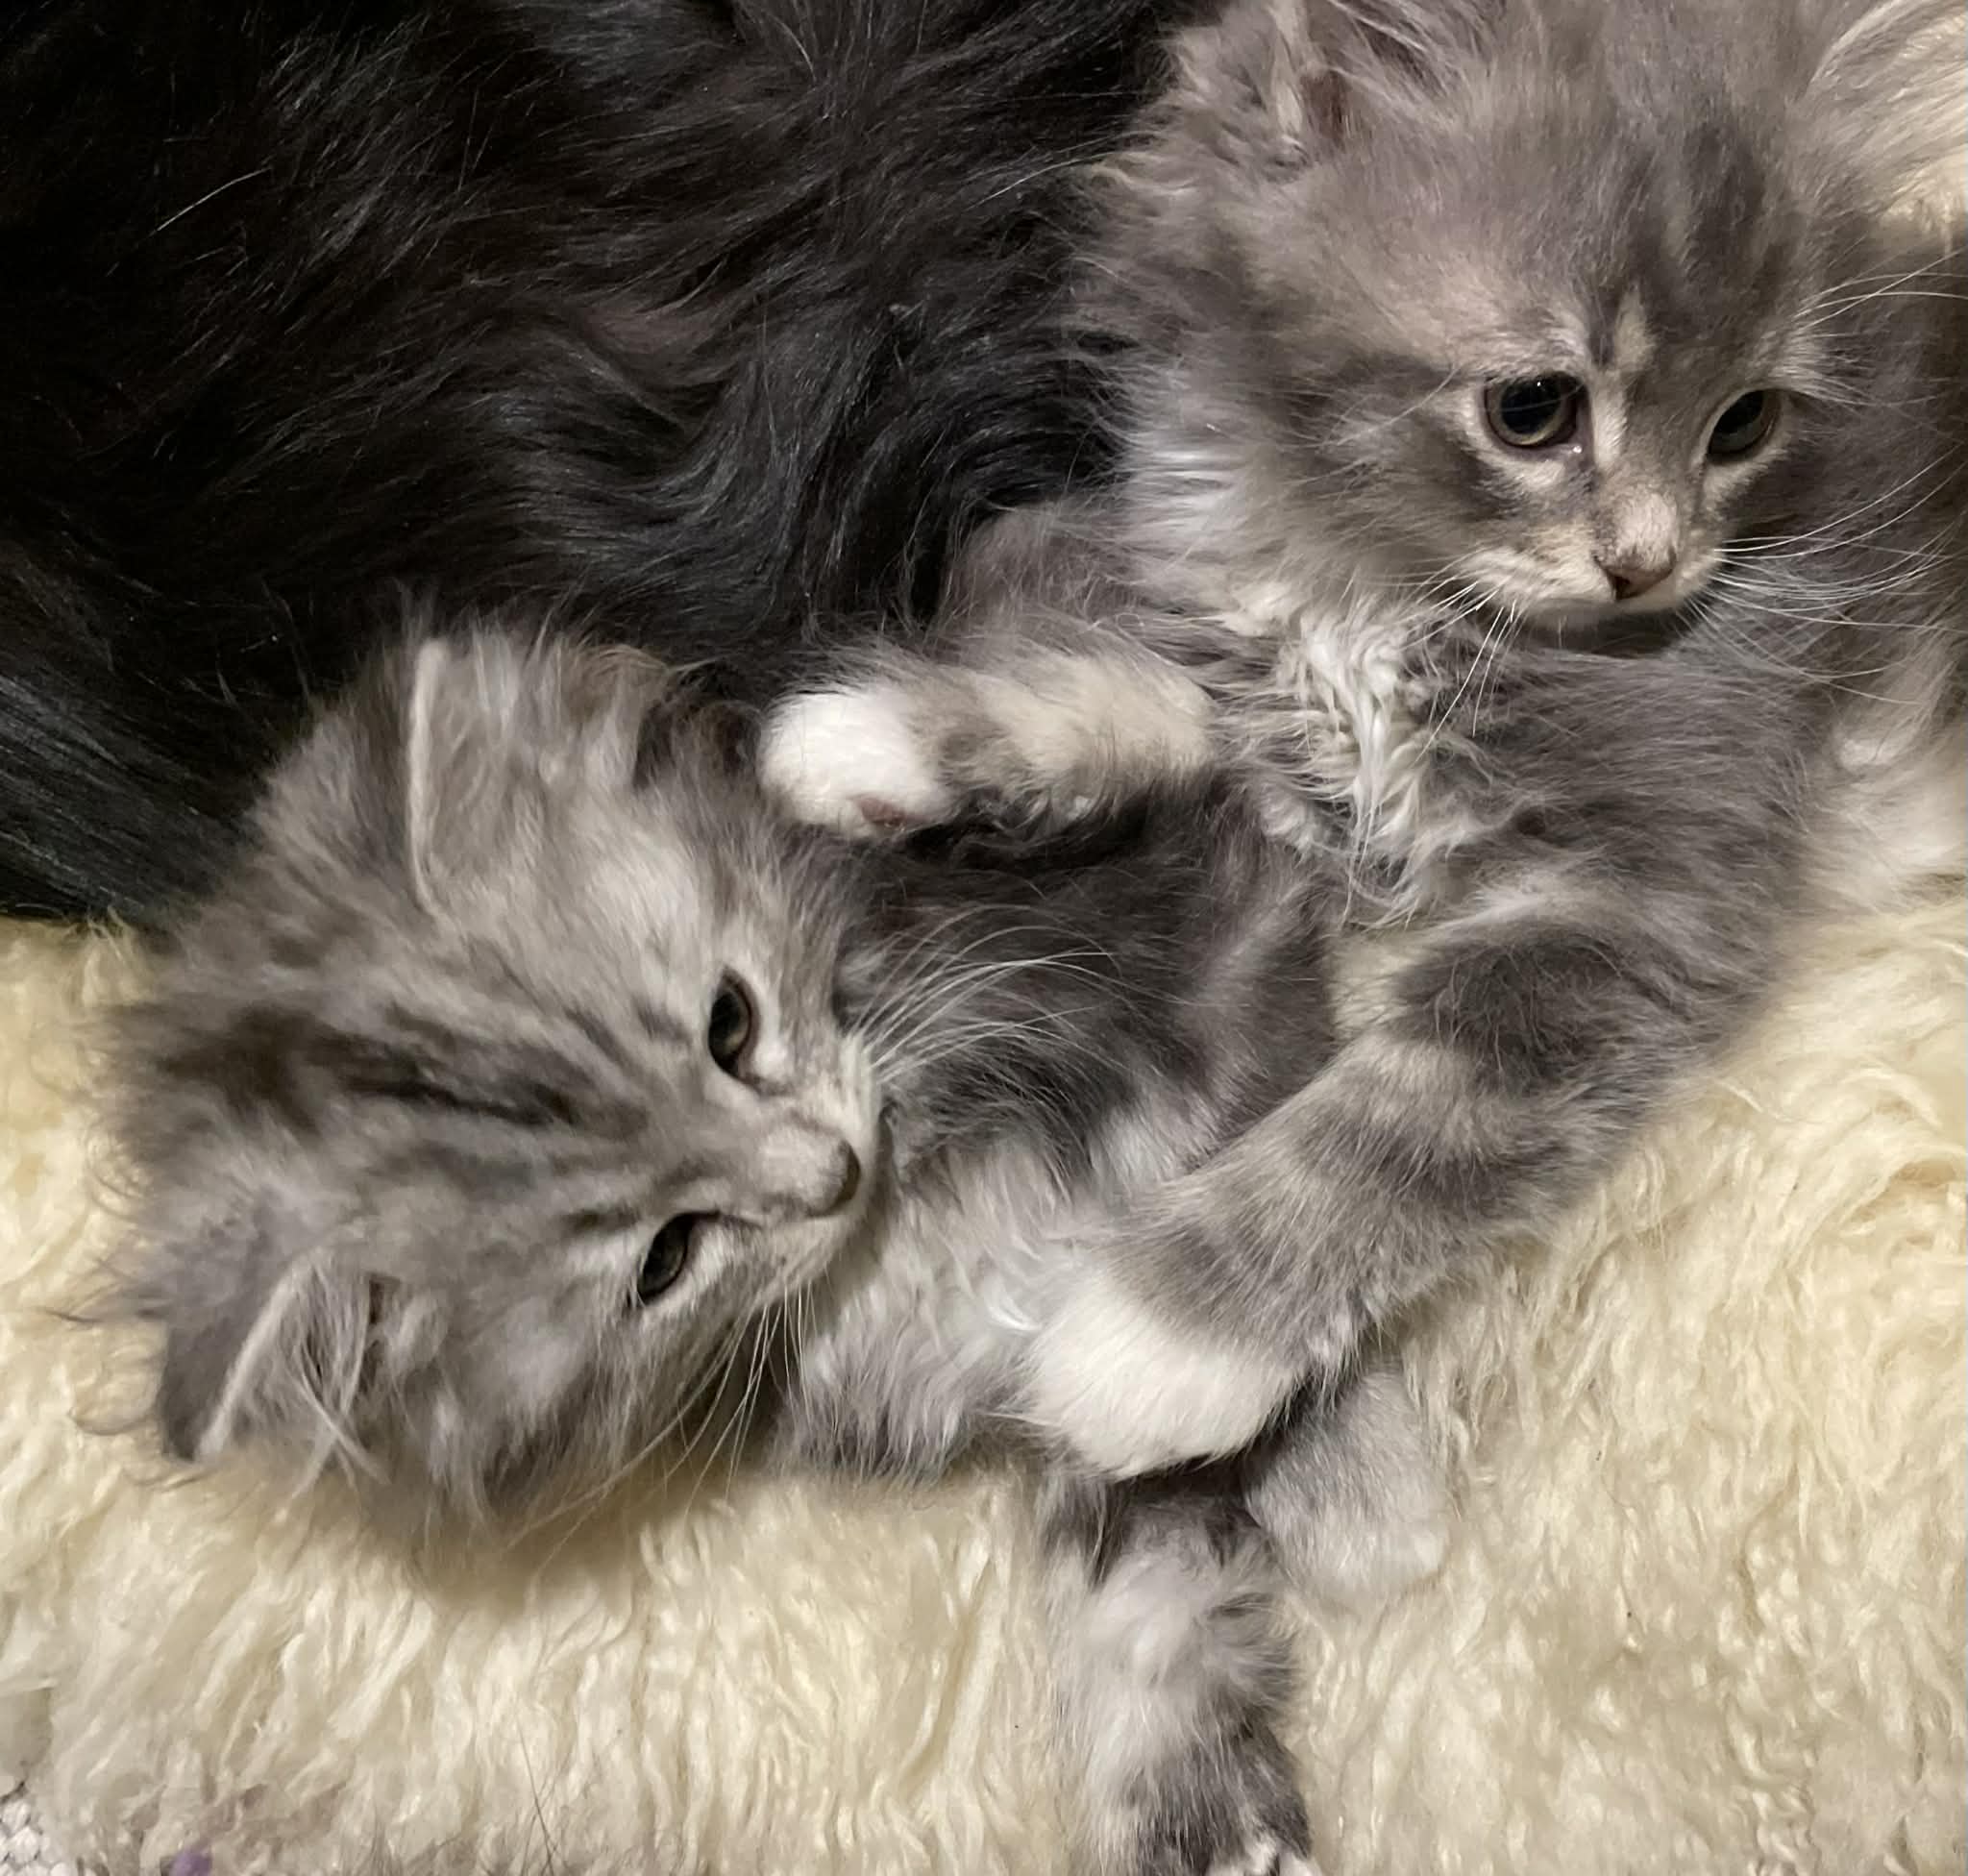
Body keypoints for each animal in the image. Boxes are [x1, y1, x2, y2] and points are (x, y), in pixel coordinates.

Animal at [111, 621, 1449, 1876]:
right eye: (663, 1258)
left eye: (731, 1020)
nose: (836, 1173)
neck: (912, 1214)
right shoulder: (1031, 1409)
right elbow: (1146, 1605)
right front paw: (1205, 1818)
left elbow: (1149, 724)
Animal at [759, 0, 1968, 1478]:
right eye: (1533, 407)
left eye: (1744, 425)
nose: (1649, 564)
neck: (1368, 573)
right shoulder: (1259, 687)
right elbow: (1119, 686)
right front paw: (872, 738)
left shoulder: (1628, 900)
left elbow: (1388, 1133)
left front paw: (1141, 1350)